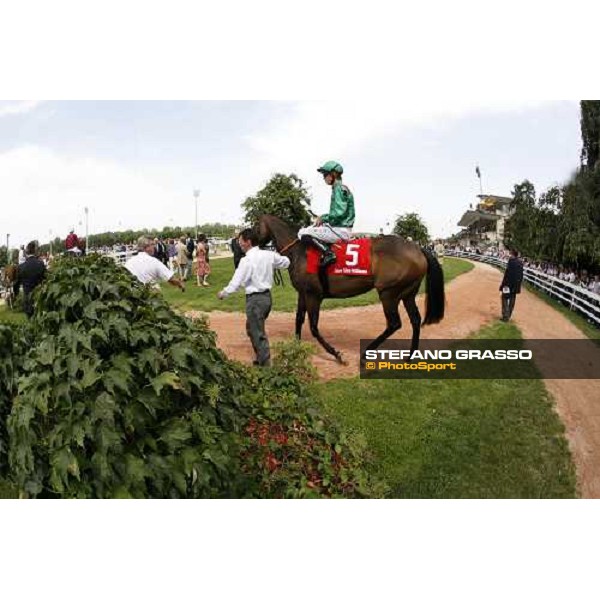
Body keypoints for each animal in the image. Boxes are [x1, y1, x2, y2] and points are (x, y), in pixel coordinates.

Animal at [258, 216, 446, 366]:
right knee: (415, 319)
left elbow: (313, 327)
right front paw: (294, 349)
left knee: (394, 323)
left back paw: (366, 354)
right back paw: (410, 356)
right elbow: (298, 319)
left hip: (389, 293)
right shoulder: (303, 293)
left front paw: (337, 355)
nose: (250, 244)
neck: (299, 251)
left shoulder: (313, 295)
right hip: (408, 293)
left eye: (254, 226)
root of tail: (418, 248)